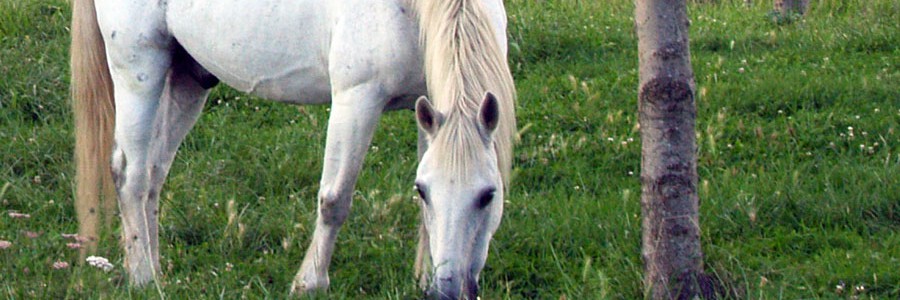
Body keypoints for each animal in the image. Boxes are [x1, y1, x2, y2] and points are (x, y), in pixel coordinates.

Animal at [69, 0, 512, 298]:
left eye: (488, 195)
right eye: (425, 191)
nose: (447, 291)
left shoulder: (430, 108)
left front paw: (421, 277)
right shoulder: (356, 99)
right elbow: (334, 200)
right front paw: (309, 282)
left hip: (187, 79)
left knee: (155, 173)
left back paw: (156, 269)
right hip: (138, 70)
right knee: (131, 174)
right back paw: (143, 277)